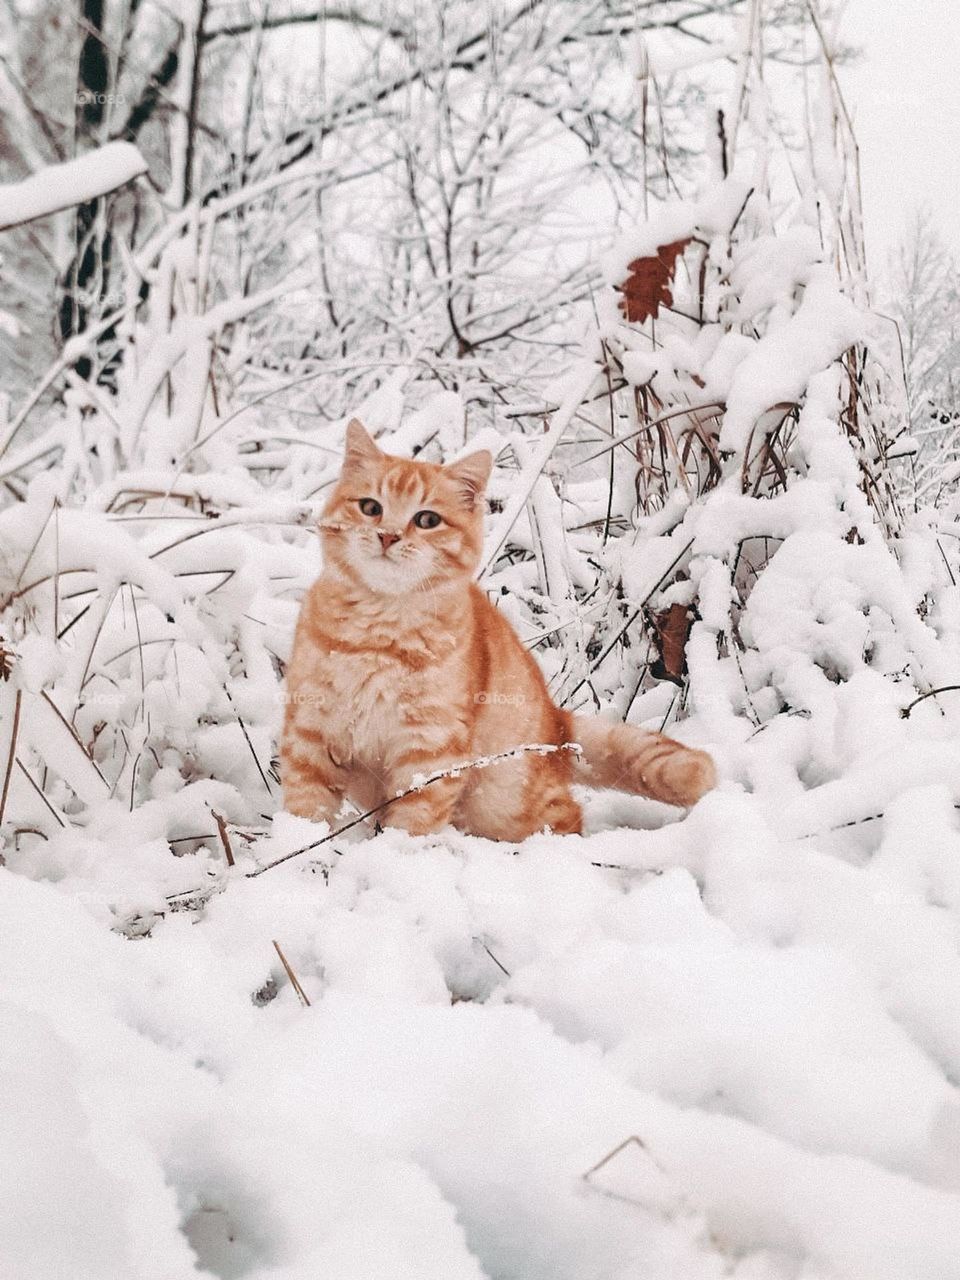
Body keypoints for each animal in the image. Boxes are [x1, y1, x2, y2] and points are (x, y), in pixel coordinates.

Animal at [281, 419, 716, 839]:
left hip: (499, 799)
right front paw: (301, 849)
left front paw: (398, 852)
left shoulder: (429, 750)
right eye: (370, 507)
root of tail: (556, 722)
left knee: (566, 815)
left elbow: (413, 820)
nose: (388, 535)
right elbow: (306, 809)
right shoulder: (310, 731)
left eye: (427, 520)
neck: (378, 632)